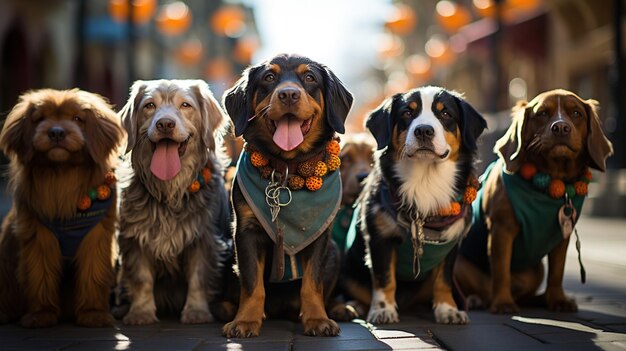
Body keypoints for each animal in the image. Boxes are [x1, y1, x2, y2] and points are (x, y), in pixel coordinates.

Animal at [0, 89, 124, 328]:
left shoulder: (95, 237)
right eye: (40, 119)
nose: (56, 132)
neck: (64, 174)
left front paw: (93, 313)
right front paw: (41, 314)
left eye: (77, 118)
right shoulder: (39, 237)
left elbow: (93, 274)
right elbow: (40, 276)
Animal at [116, 80, 230, 328]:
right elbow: (141, 278)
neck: (170, 189)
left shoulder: (203, 238)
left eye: (185, 105)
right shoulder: (135, 239)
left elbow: (198, 277)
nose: (165, 124)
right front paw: (141, 312)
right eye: (150, 105)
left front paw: (196, 311)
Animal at [222, 53, 354, 338]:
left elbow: (313, 283)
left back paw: (340, 308)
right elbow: (251, 282)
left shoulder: (321, 237)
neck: (286, 168)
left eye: (310, 77)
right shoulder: (245, 232)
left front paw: (317, 319)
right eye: (269, 77)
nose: (289, 94)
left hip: (335, 252)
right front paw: (245, 320)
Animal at [338, 86, 486, 326]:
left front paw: (448, 309)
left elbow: (443, 280)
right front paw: (383, 310)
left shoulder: (452, 245)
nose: (424, 130)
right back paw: (353, 306)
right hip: (348, 271)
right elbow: (384, 278)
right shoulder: (381, 238)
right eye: (407, 112)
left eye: (445, 114)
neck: (425, 181)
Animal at [450, 89, 612, 314]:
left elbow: (557, 272)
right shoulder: (502, 229)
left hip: (536, 271)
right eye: (542, 113)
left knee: (526, 295)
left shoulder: (562, 235)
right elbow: (501, 270)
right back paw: (478, 300)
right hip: (459, 262)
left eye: (577, 113)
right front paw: (503, 302)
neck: (552, 180)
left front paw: (557, 299)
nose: (561, 127)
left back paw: (540, 299)